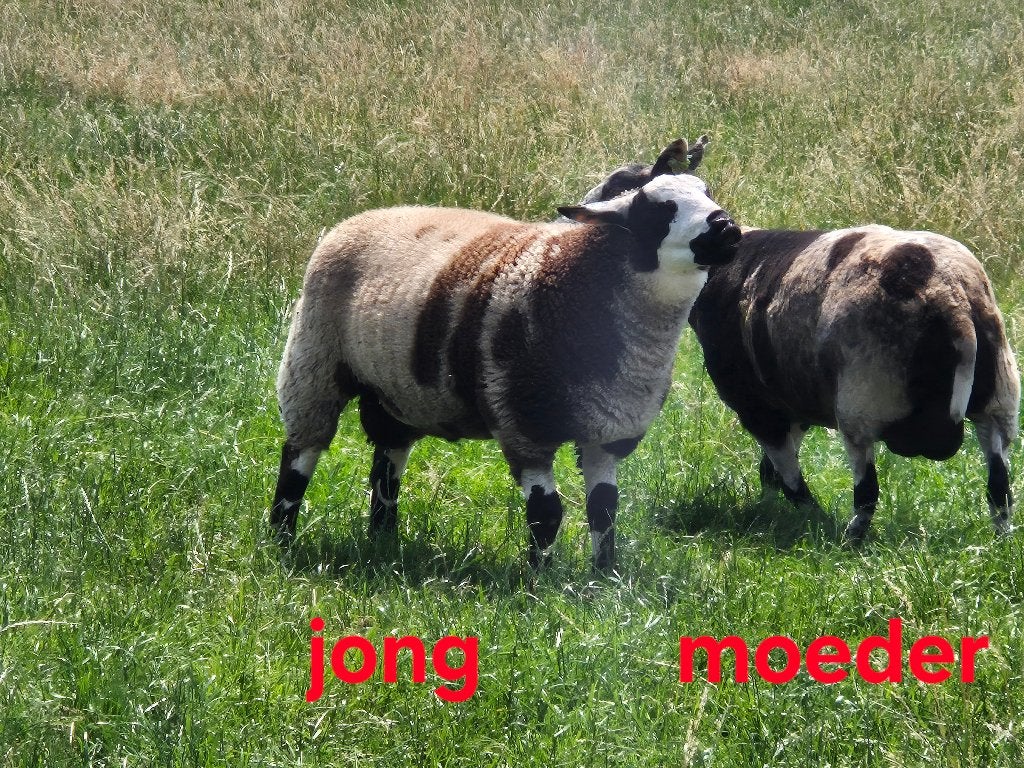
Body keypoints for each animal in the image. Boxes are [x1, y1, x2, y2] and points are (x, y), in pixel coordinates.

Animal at [271, 164, 742, 570]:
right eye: (658, 210)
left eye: (707, 192)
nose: (727, 228)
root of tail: (362, 217)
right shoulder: (523, 425)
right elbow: (546, 512)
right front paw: (540, 582)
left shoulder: (607, 433)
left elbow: (604, 508)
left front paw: (604, 576)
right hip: (313, 360)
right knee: (299, 456)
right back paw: (281, 539)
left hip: (395, 390)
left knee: (386, 465)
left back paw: (383, 539)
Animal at [581, 139, 1020, 541]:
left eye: (621, 189)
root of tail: (950, 298)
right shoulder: (790, 396)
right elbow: (770, 473)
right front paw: (772, 512)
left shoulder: (755, 402)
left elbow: (787, 474)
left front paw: (807, 519)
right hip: (998, 396)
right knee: (999, 484)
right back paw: (999, 540)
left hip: (864, 399)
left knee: (867, 491)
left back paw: (850, 540)